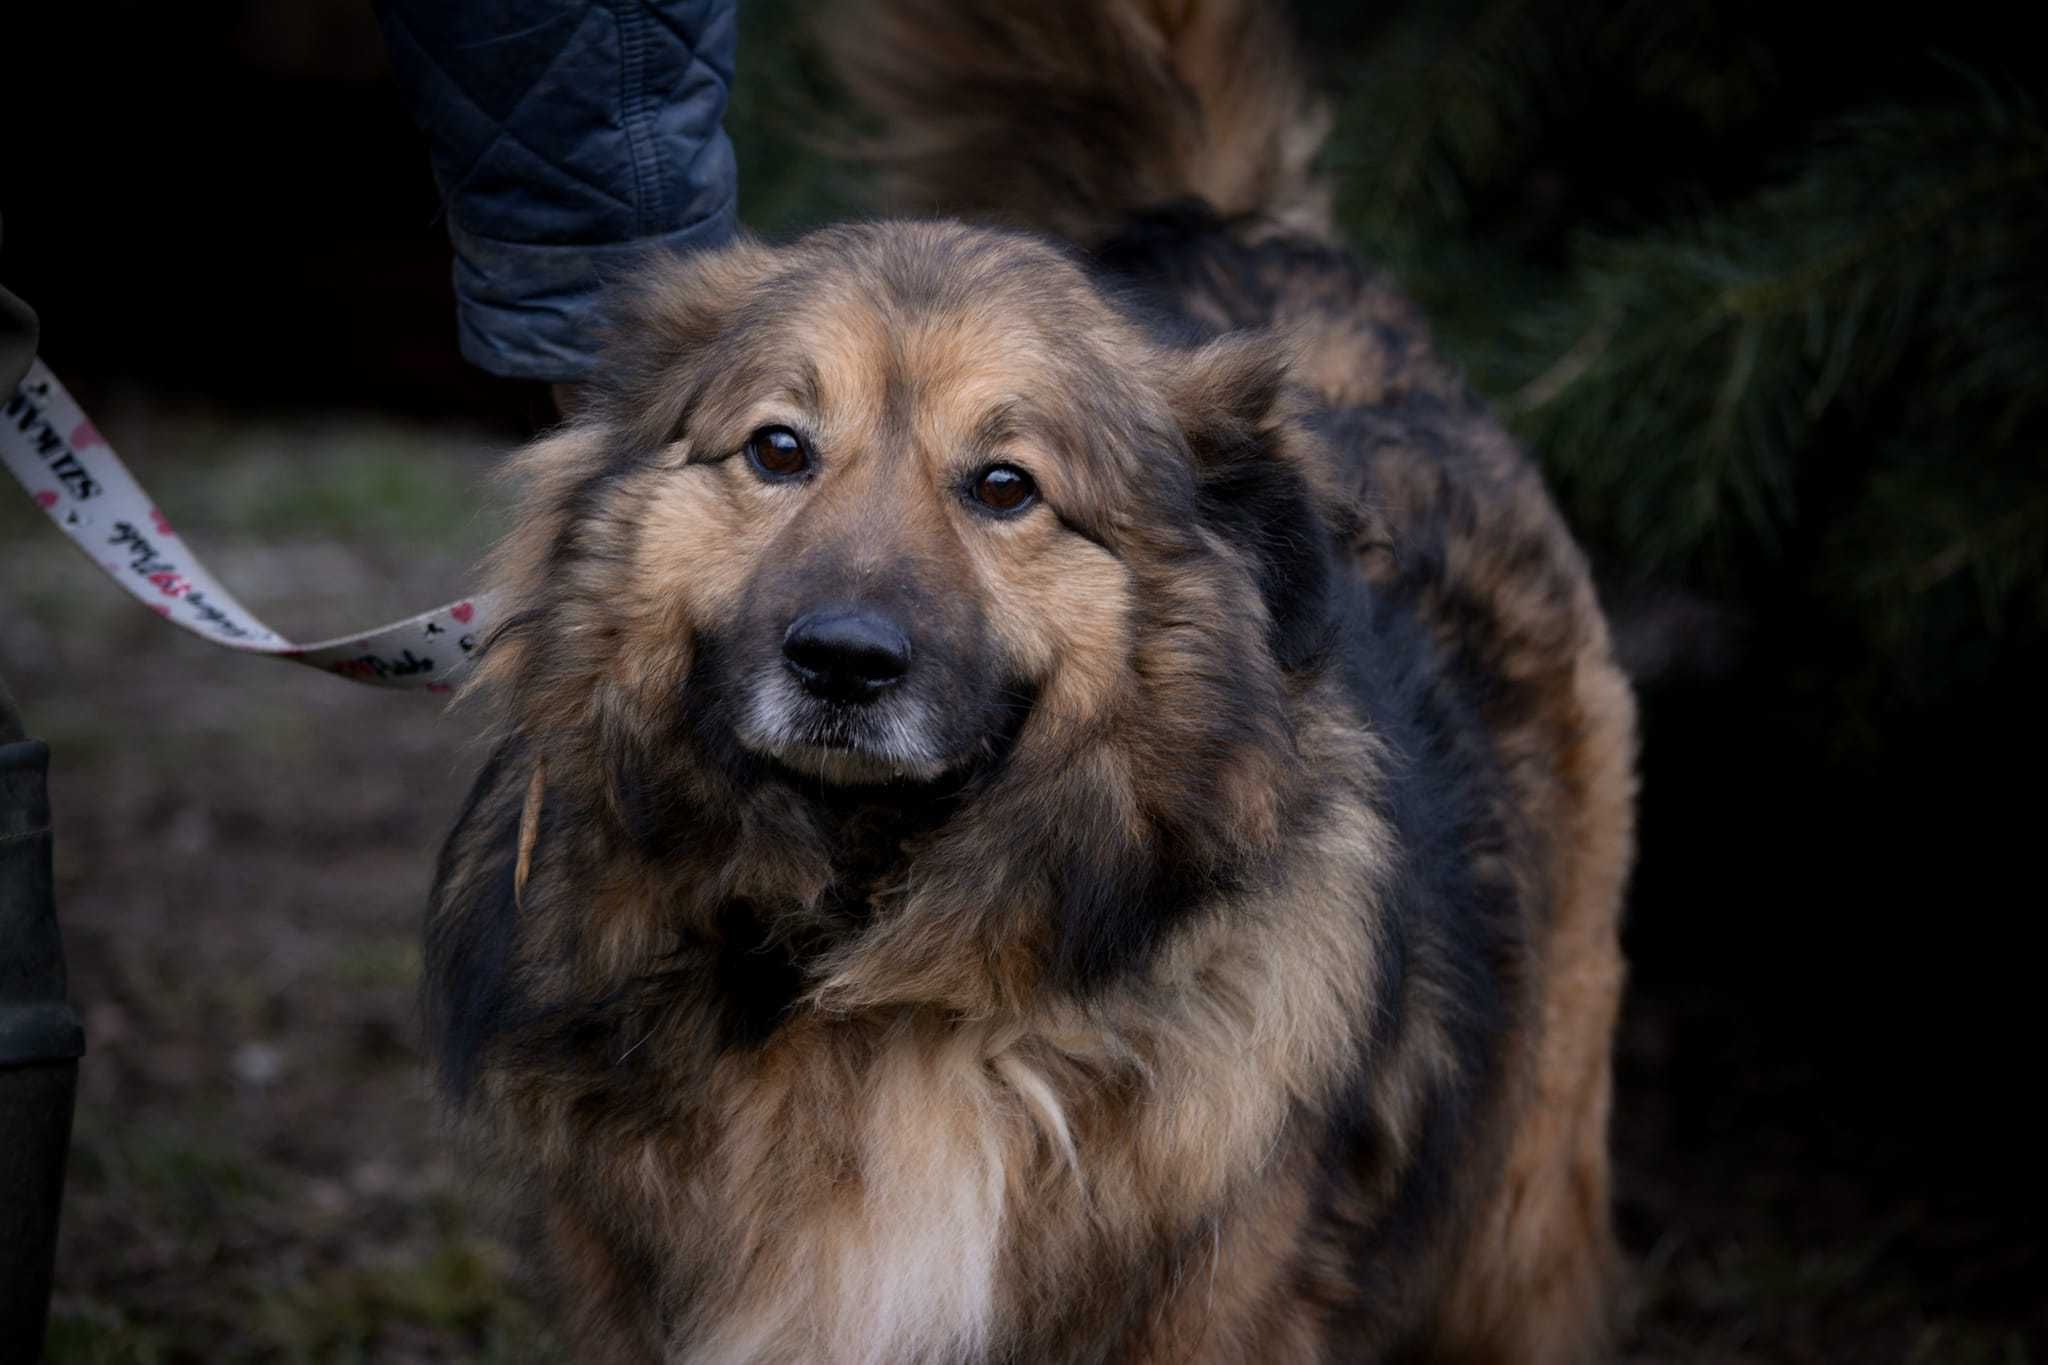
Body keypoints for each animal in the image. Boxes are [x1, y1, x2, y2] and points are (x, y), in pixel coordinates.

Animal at [428, 5, 1630, 1358]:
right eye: (778, 450)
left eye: (1005, 485)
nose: (841, 662)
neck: (880, 978)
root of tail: (1243, 233)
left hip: (1519, 1205)